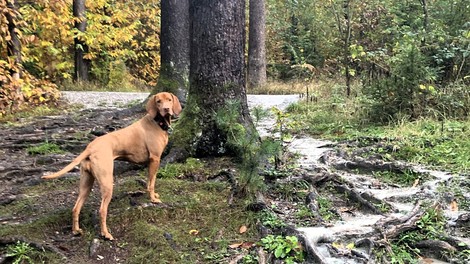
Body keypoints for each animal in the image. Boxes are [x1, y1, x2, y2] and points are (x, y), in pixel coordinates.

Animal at [42, 92, 182, 240]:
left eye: (169, 100)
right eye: (158, 101)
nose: (166, 109)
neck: (157, 121)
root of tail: (90, 147)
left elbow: (150, 181)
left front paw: (153, 195)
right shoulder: (154, 159)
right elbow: (152, 182)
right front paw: (153, 199)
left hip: (86, 183)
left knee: (76, 208)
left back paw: (76, 230)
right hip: (107, 183)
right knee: (102, 210)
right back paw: (106, 233)